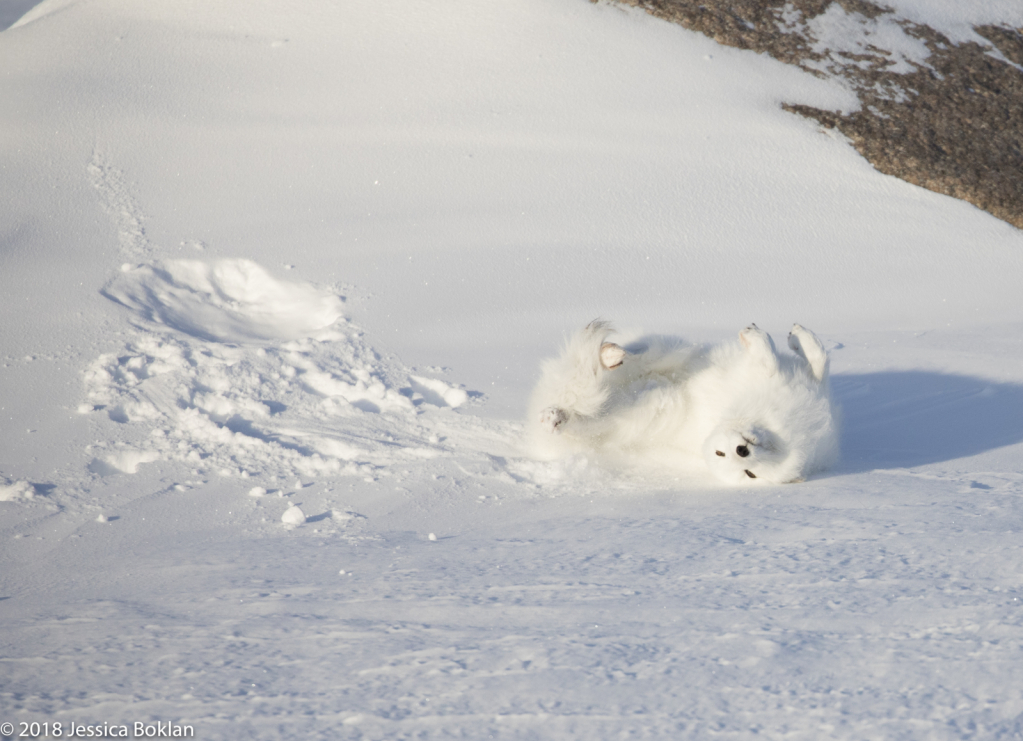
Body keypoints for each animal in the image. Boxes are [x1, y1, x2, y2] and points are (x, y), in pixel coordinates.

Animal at [527, 319, 838, 483]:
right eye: (721, 454)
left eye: (750, 474)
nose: (741, 450)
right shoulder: (796, 384)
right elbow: (810, 358)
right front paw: (788, 335)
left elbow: (796, 362)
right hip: (670, 351)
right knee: (633, 355)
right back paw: (611, 354)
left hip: (645, 410)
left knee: (593, 416)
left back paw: (557, 418)